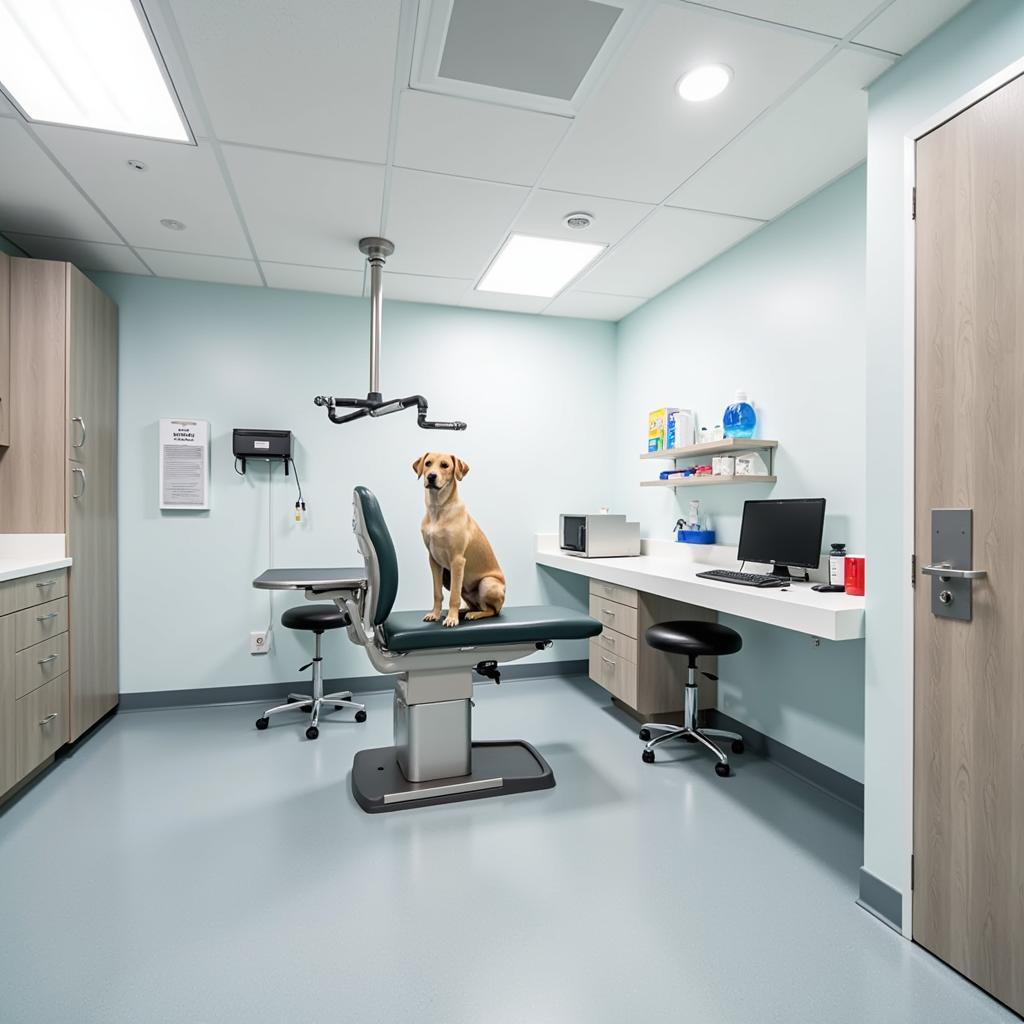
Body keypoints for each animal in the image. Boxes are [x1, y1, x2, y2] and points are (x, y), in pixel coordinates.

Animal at [411, 454, 507, 626]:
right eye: (428, 463)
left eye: (445, 465)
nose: (431, 476)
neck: (438, 508)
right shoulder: (434, 561)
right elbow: (437, 593)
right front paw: (435, 614)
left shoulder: (457, 561)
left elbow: (453, 596)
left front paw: (451, 619)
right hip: (455, 582)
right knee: (475, 605)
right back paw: (464, 611)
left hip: (487, 583)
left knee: (491, 611)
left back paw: (473, 614)